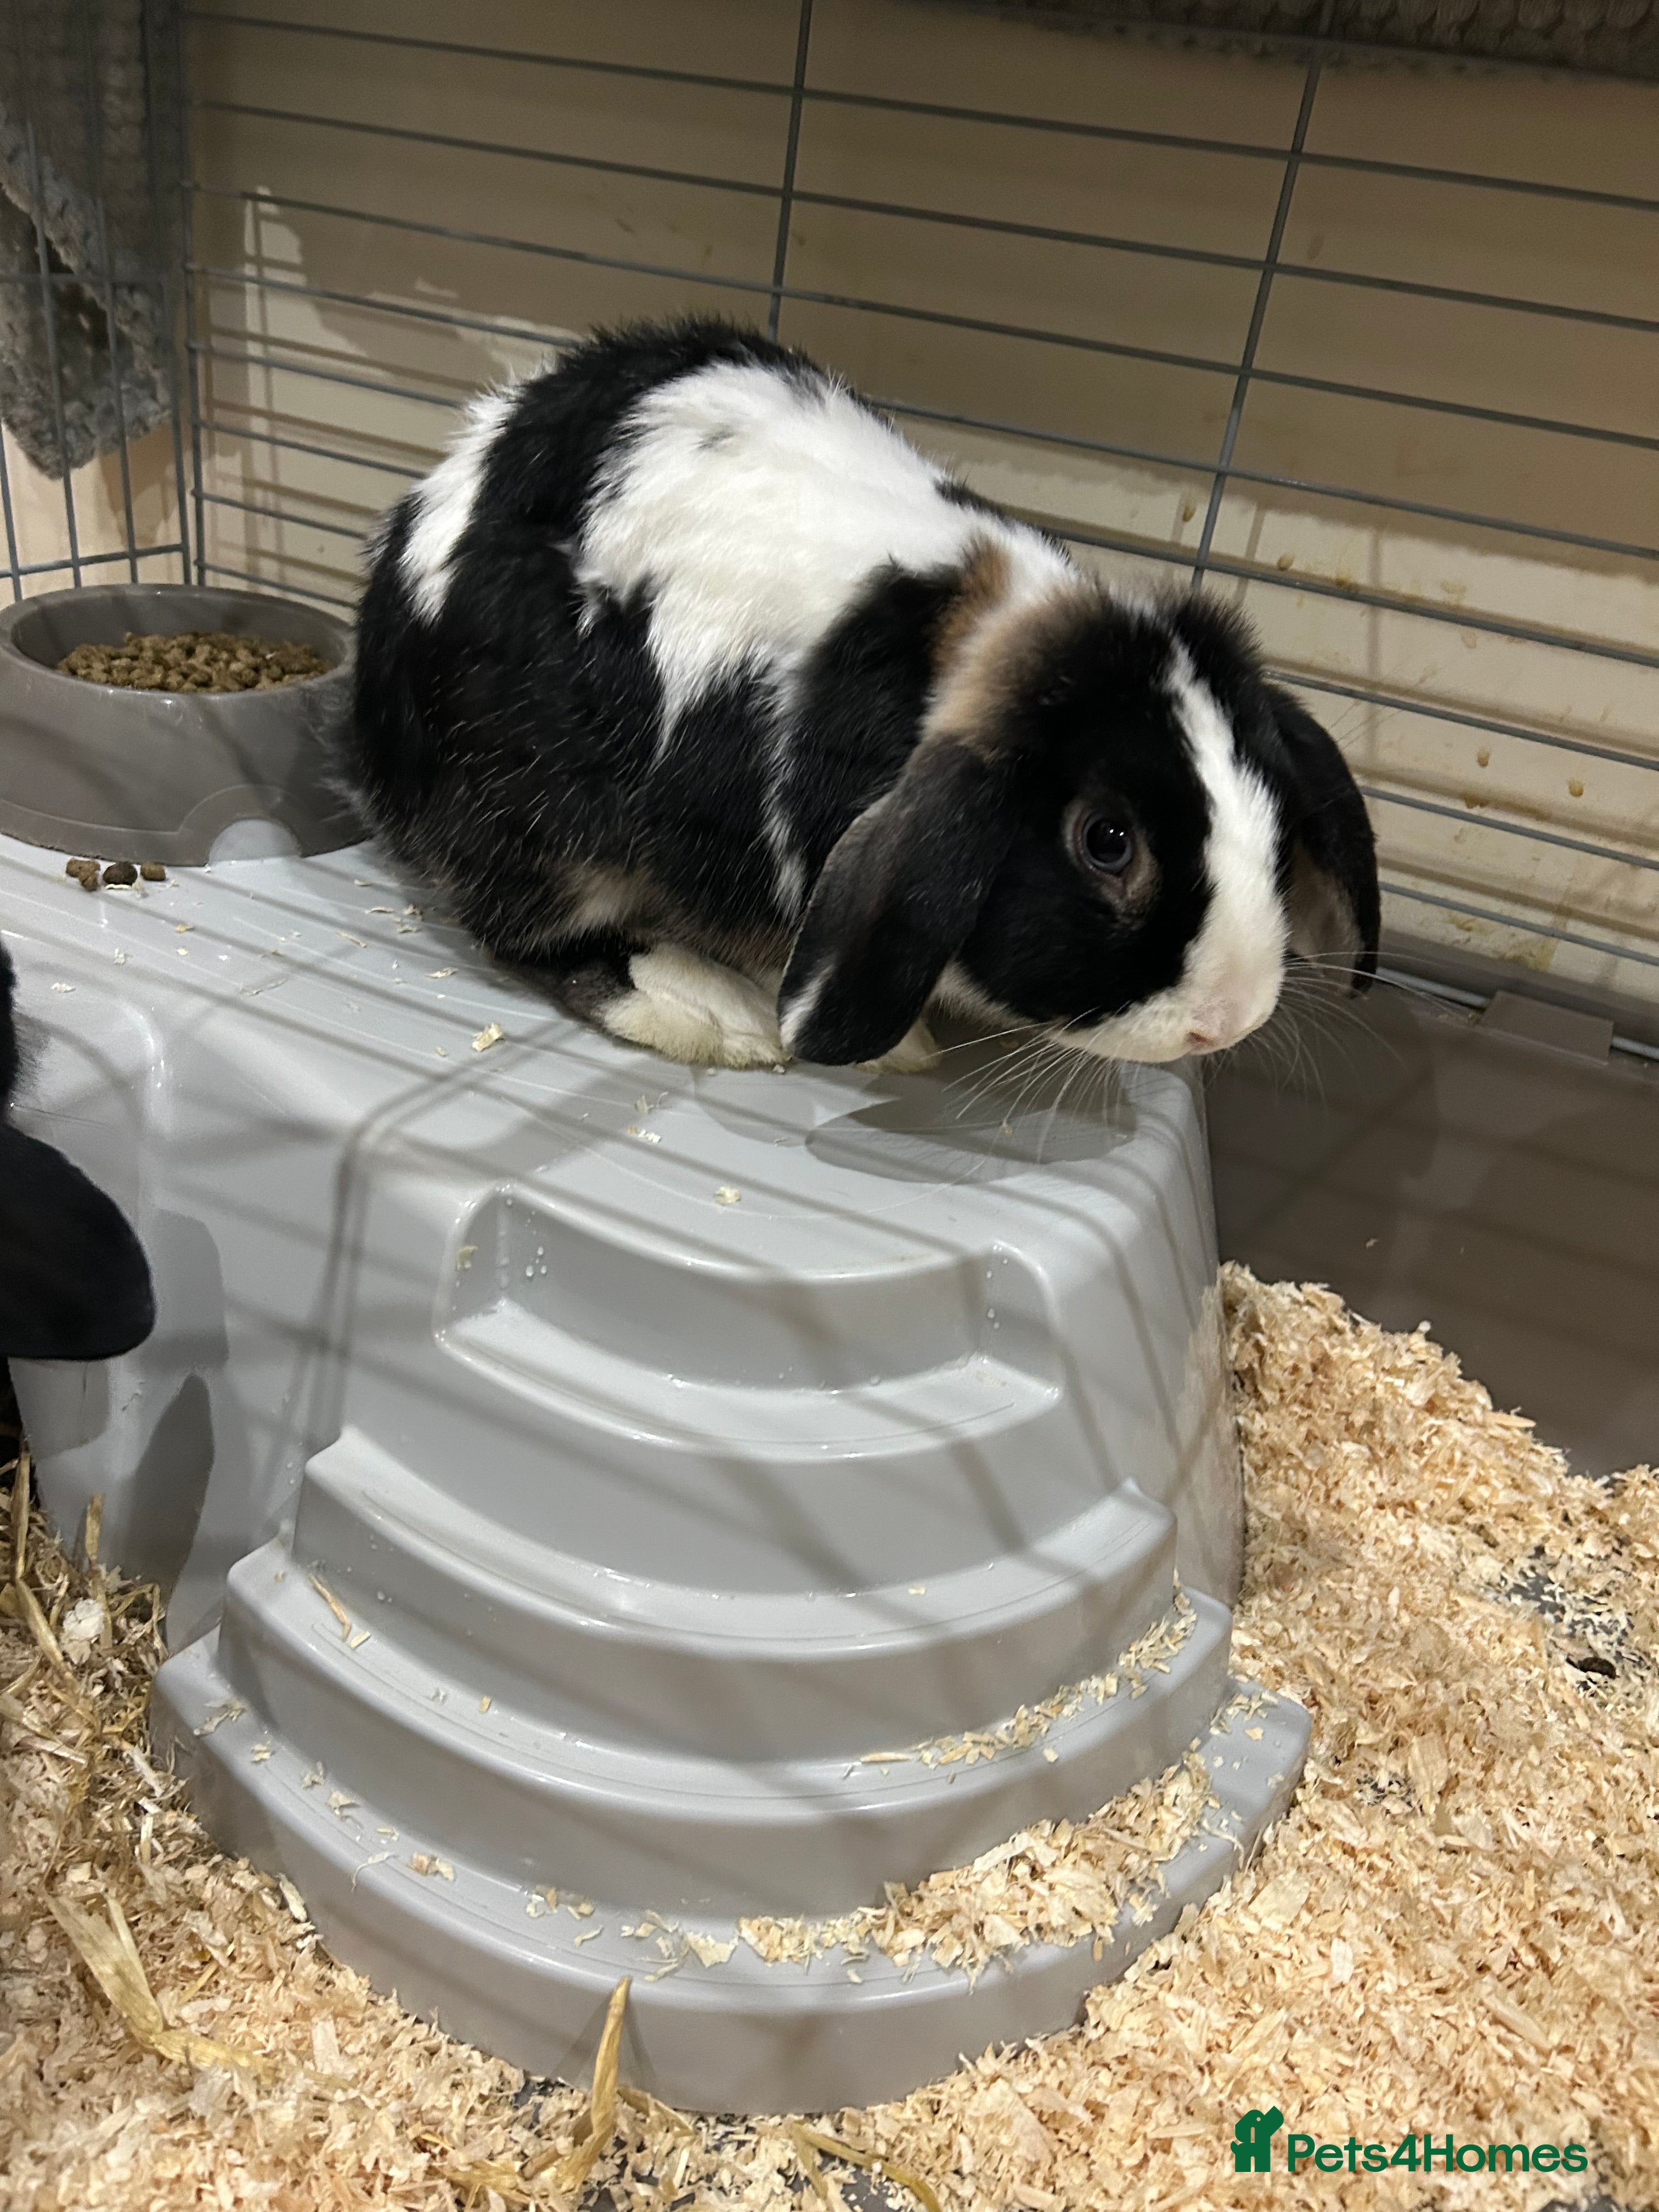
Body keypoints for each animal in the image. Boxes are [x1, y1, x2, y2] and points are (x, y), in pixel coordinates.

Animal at [346, 317, 1378, 1074]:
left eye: (1273, 815)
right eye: (1107, 841)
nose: (1229, 1018)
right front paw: (897, 1049)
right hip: (537, 814)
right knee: (524, 927)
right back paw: (711, 1013)